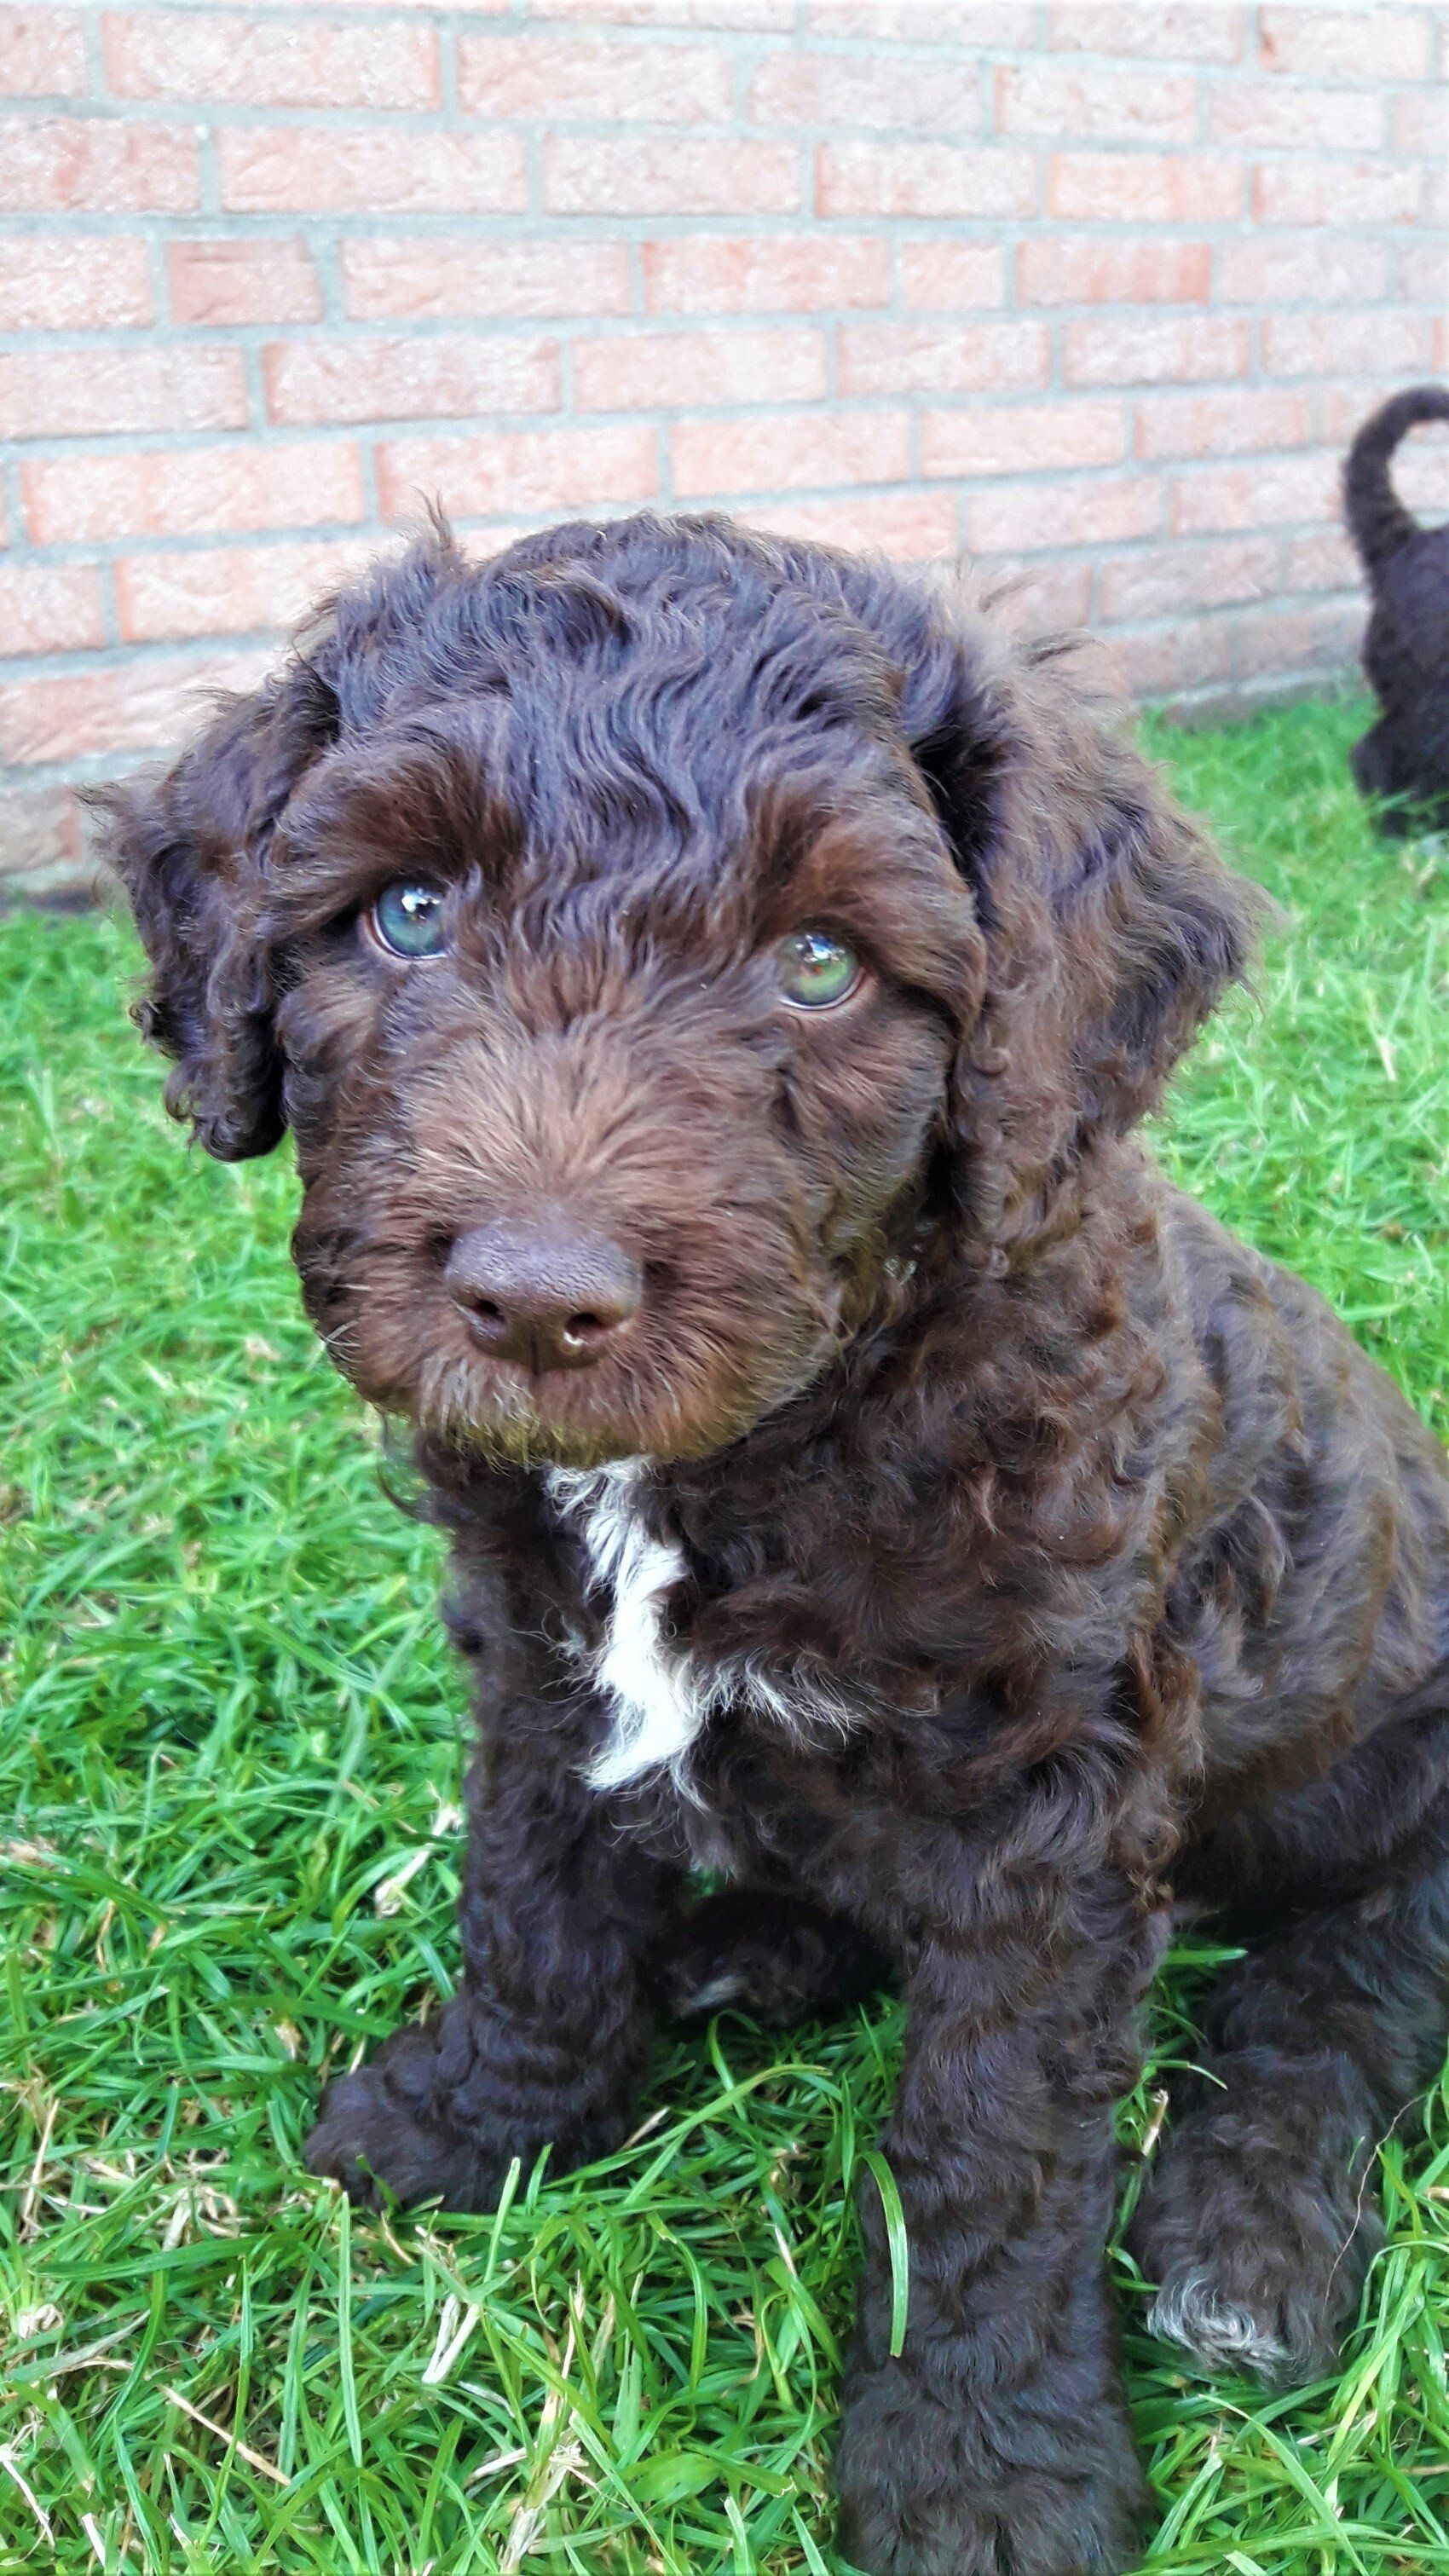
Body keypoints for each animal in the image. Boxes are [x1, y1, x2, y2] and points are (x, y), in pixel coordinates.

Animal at [104, 514, 1449, 2576]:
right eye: (405, 916)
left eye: (820, 961)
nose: (536, 1300)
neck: (748, 1448)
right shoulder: (544, 1668)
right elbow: (532, 1906)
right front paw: (481, 2118)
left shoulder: (1050, 1804)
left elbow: (993, 2142)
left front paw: (985, 2463)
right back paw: (744, 1949)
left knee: (1354, 1985)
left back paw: (1247, 2234)